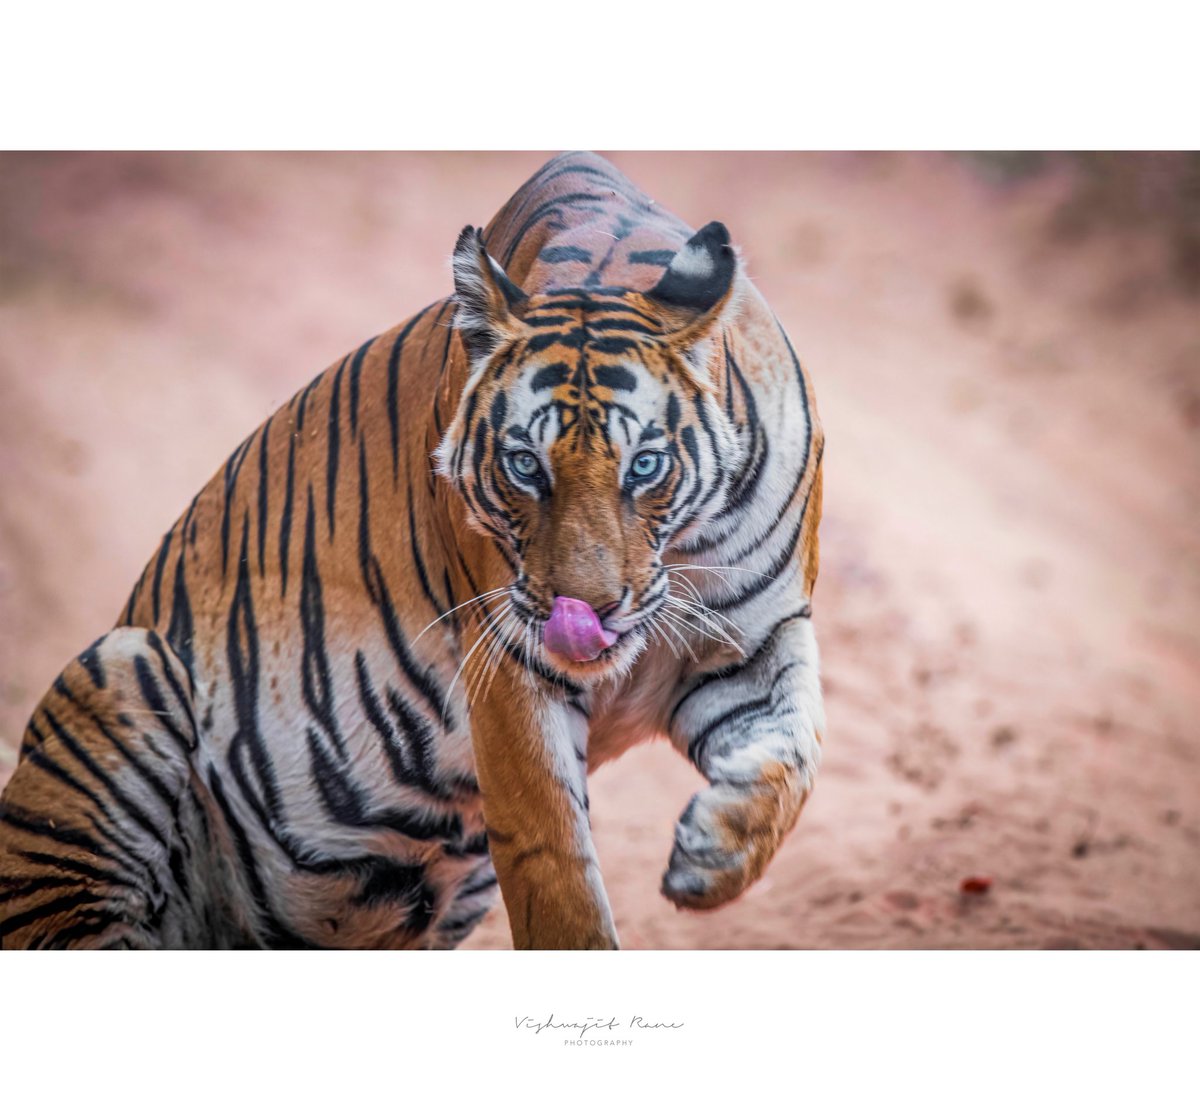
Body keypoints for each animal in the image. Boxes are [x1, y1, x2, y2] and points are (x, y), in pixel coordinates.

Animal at [0, 151, 825, 950]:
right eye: (526, 465)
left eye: (645, 466)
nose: (584, 611)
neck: (680, 554)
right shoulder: (512, 674)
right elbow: (558, 880)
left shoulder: (756, 638)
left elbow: (800, 749)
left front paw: (714, 853)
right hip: (122, 668)